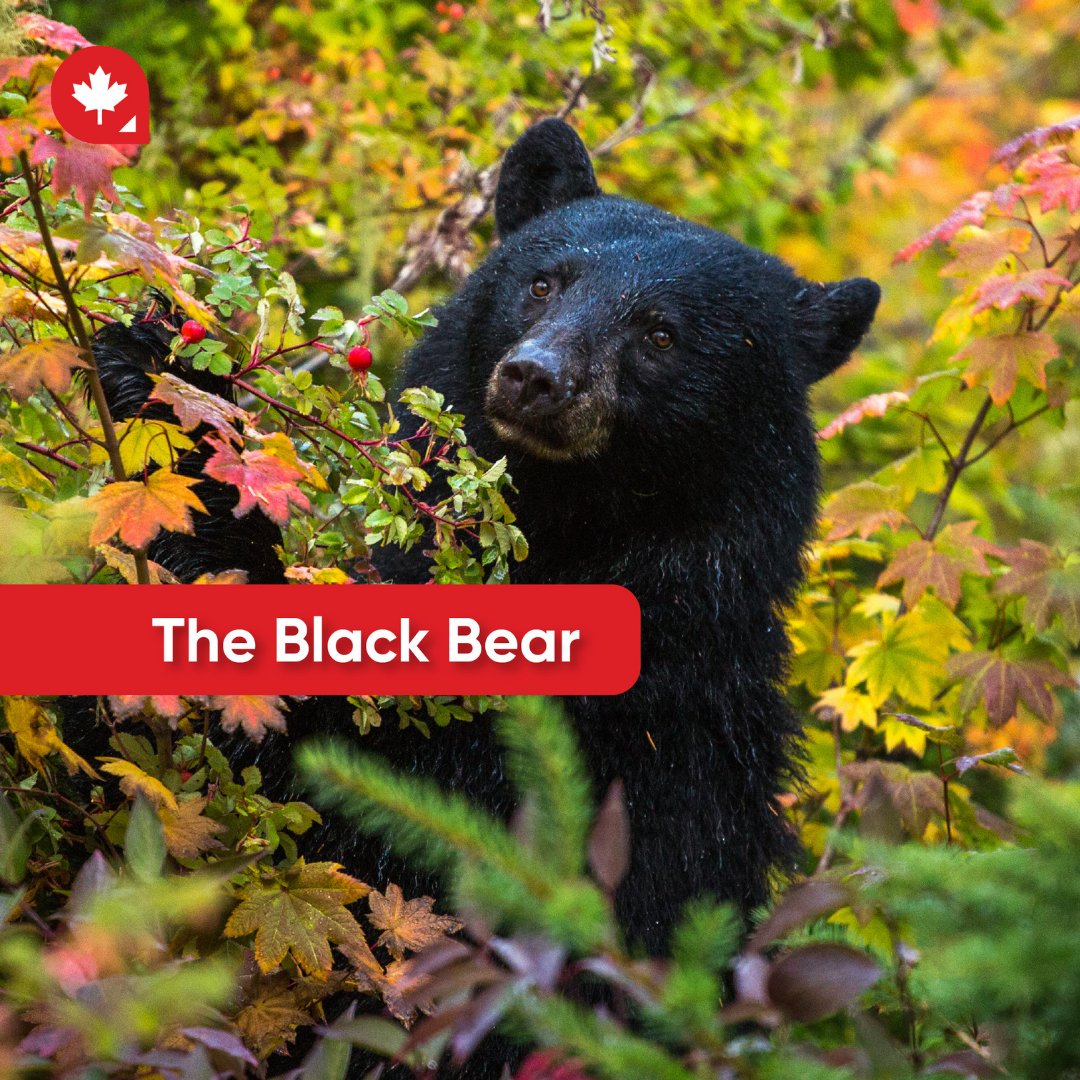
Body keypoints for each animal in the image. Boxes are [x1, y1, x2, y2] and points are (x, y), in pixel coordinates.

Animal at [70, 117, 879, 1069]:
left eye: (661, 334)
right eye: (543, 281)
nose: (537, 376)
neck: (564, 532)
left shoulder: (587, 751)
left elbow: (331, 771)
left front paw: (173, 398)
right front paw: (157, 349)